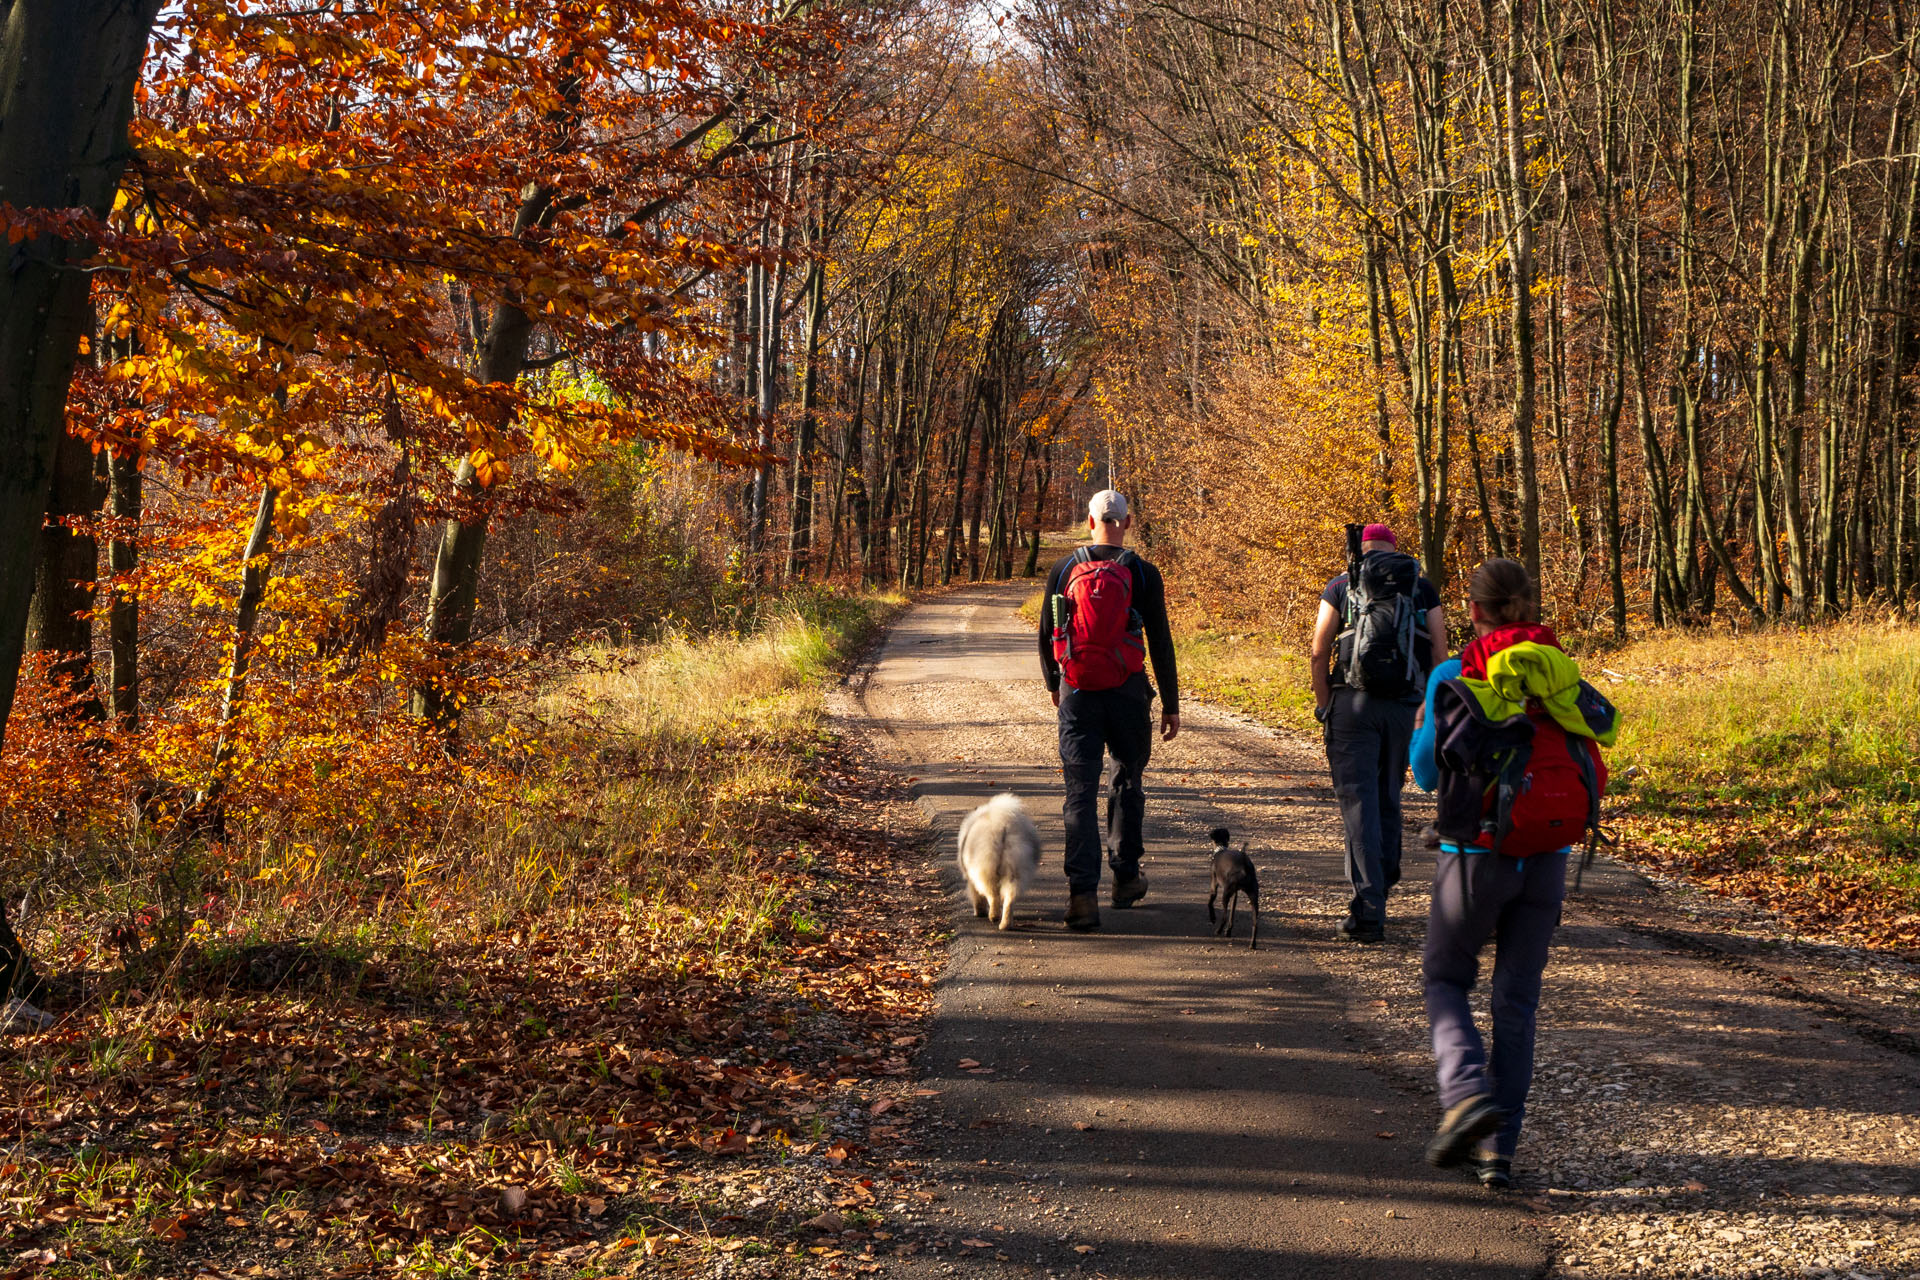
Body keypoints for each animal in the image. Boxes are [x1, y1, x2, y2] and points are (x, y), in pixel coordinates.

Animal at [956, 790, 1044, 932]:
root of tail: (1003, 826)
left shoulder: (970, 876)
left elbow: (976, 896)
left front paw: (979, 912)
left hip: (984, 869)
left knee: (992, 895)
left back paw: (993, 916)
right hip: (1015, 870)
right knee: (1009, 898)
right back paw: (1005, 924)